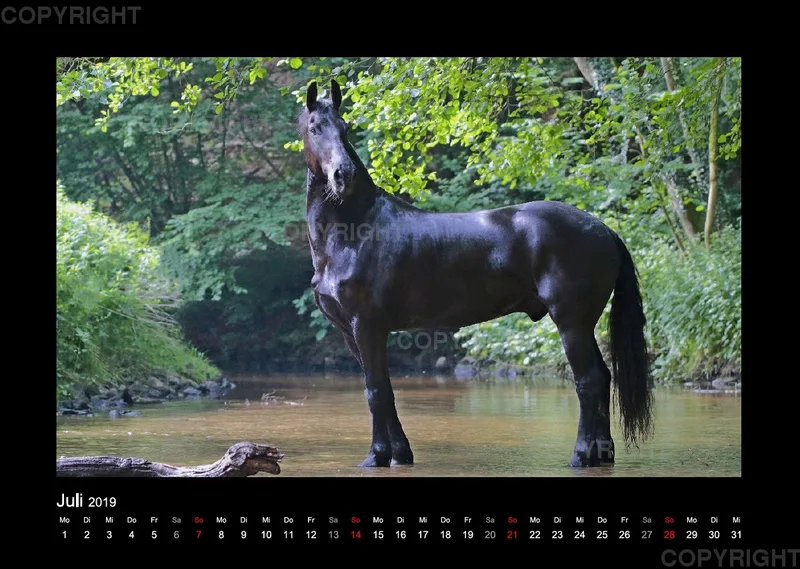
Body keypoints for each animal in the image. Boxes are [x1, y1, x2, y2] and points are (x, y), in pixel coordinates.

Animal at [299, 79, 654, 468]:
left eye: (345, 128)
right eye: (315, 128)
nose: (342, 176)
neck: (354, 231)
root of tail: (602, 229)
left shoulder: (367, 326)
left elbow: (375, 391)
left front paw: (377, 456)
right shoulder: (352, 332)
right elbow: (383, 390)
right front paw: (399, 454)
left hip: (571, 321)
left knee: (588, 380)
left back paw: (580, 455)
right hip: (584, 323)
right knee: (603, 377)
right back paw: (601, 453)